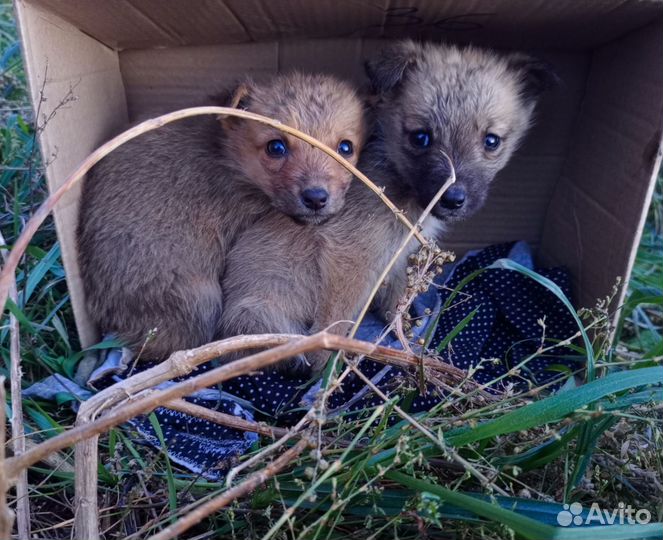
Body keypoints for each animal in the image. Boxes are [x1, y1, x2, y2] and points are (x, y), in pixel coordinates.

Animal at [220, 42, 556, 374]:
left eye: (492, 141)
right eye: (421, 137)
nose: (452, 199)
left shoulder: (398, 257)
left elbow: (398, 301)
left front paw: (405, 334)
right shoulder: (350, 256)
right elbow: (335, 321)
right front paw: (326, 368)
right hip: (259, 305)